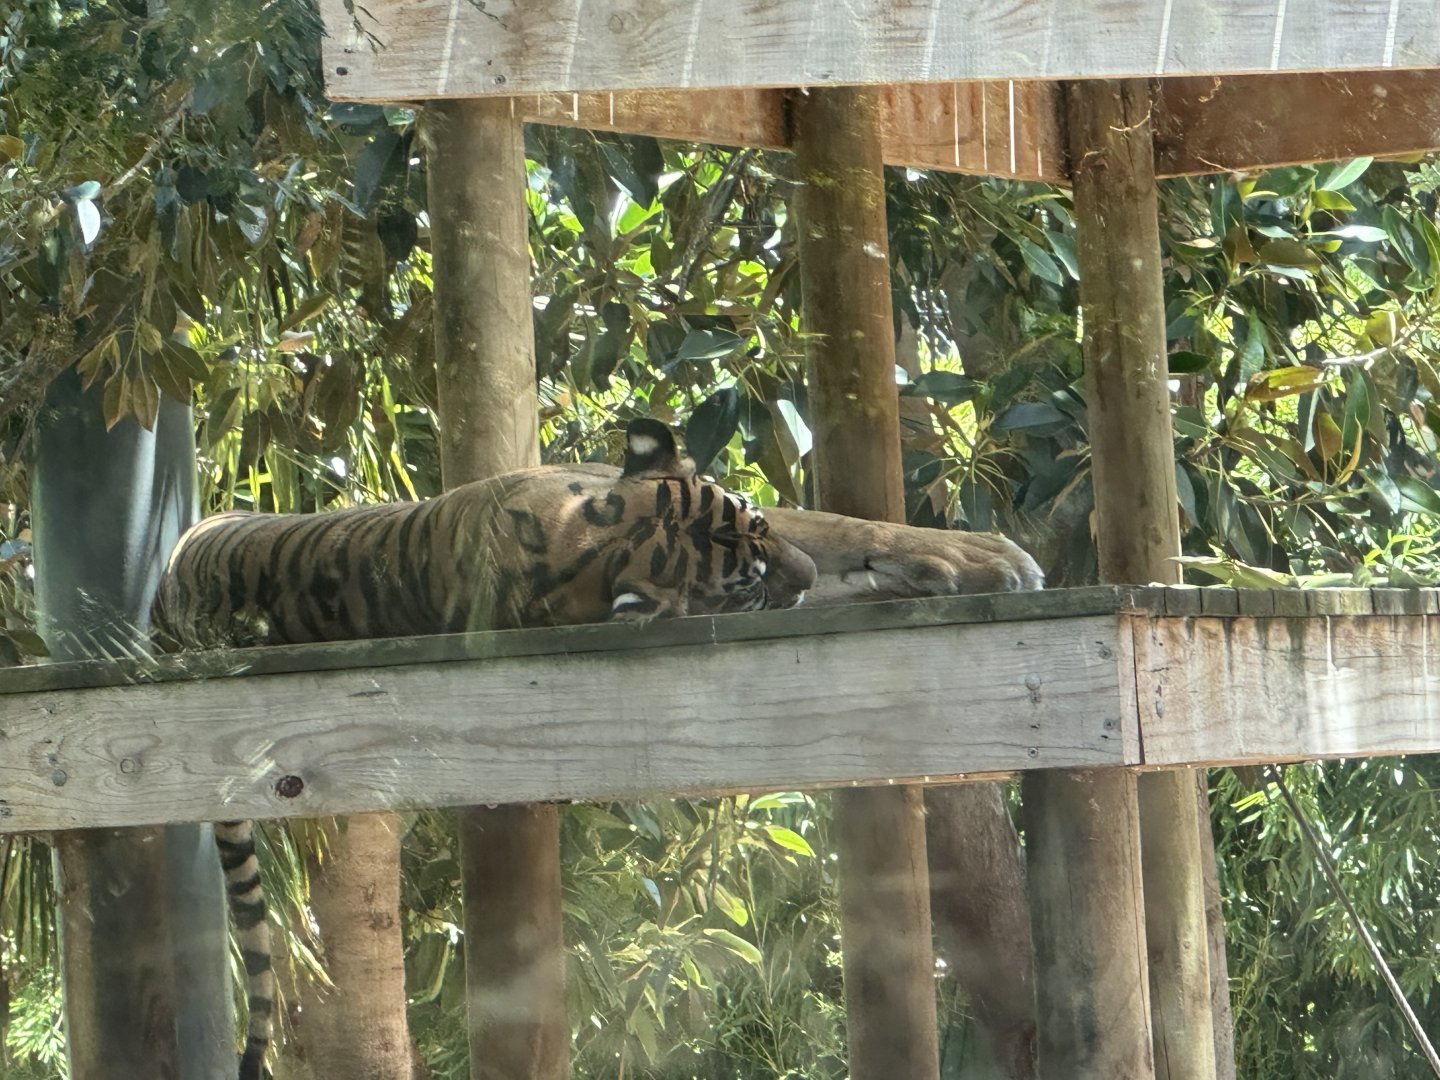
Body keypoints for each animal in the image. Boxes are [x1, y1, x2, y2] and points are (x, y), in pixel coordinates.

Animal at [151, 417, 1042, 1079]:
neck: (581, 542)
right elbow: (838, 539)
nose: (790, 579)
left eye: (754, 523)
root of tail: (166, 609)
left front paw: (950, 561)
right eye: (746, 585)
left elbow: (833, 527)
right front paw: (980, 560)